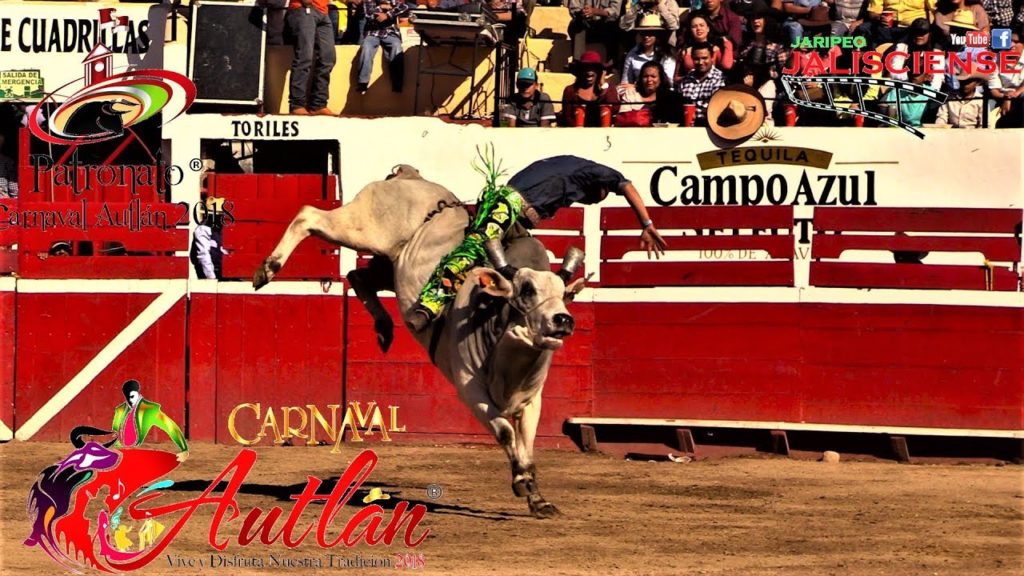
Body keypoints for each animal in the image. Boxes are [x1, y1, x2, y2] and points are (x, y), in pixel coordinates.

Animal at [253, 165, 585, 516]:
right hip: (360, 228)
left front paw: (536, 496)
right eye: (526, 290)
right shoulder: (470, 390)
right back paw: (267, 270)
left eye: (565, 295)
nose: (563, 320)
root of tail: (407, 176)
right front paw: (522, 483)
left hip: (389, 265)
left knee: (357, 276)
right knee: (309, 215)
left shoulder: (532, 399)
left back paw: (385, 328)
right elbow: (506, 432)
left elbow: (527, 444)